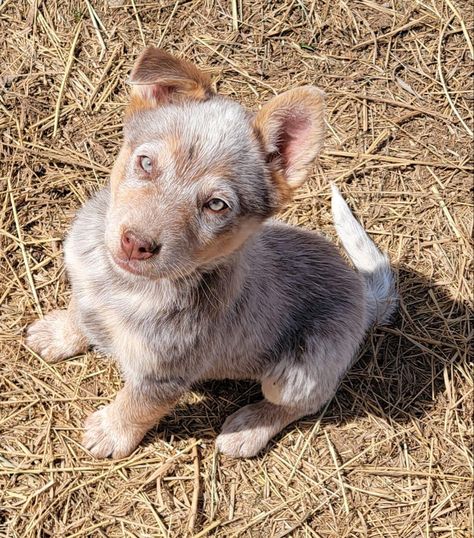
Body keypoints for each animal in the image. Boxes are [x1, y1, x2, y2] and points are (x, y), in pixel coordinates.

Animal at [25, 47, 396, 456]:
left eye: (216, 205)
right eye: (146, 163)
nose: (135, 243)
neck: (123, 286)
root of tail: (362, 293)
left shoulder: (163, 375)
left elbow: (136, 406)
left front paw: (110, 432)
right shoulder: (86, 288)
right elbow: (80, 313)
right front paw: (59, 334)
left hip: (298, 372)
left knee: (306, 403)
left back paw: (248, 429)